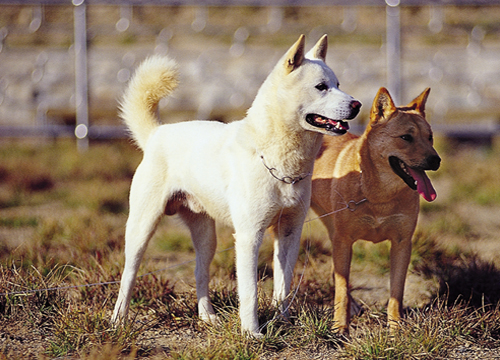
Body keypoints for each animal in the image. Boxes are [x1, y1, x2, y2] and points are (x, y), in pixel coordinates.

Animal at [111, 35, 362, 336]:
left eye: (339, 84)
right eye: (321, 87)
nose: (357, 104)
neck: (277, 161)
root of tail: (157, 133)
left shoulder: (289, 232)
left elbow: (283, 287)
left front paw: (283, 323)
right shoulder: (248, 236)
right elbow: (250, 292)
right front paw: (252, 333)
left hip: (206, 237)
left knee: (200, 274)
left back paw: (207, 317)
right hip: (142, 227)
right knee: (128, 275)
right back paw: (118, 320)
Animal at [312, 88, 442, 334]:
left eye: (430, 137)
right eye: (406, 137)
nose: (436, 160)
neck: (379, 195)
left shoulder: (402, 243)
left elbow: (396, 293)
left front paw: (395, 328)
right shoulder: (345, 241)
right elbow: (341, 290)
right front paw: (339, 327)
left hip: (332, 229)